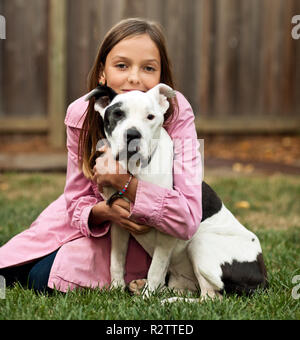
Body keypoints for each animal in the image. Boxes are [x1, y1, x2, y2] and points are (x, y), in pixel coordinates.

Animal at [85, 83, 268, 302]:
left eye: (150, 117)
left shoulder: (168, 231)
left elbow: (156, 269)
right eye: (118, 114)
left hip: (201, 241)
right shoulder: (118, 222)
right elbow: (117, 260)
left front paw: (147, 298)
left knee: (209, 298)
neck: (134, 170)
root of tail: (263, 279)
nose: (132, 134)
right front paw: (116, 288)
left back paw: (167, 301)